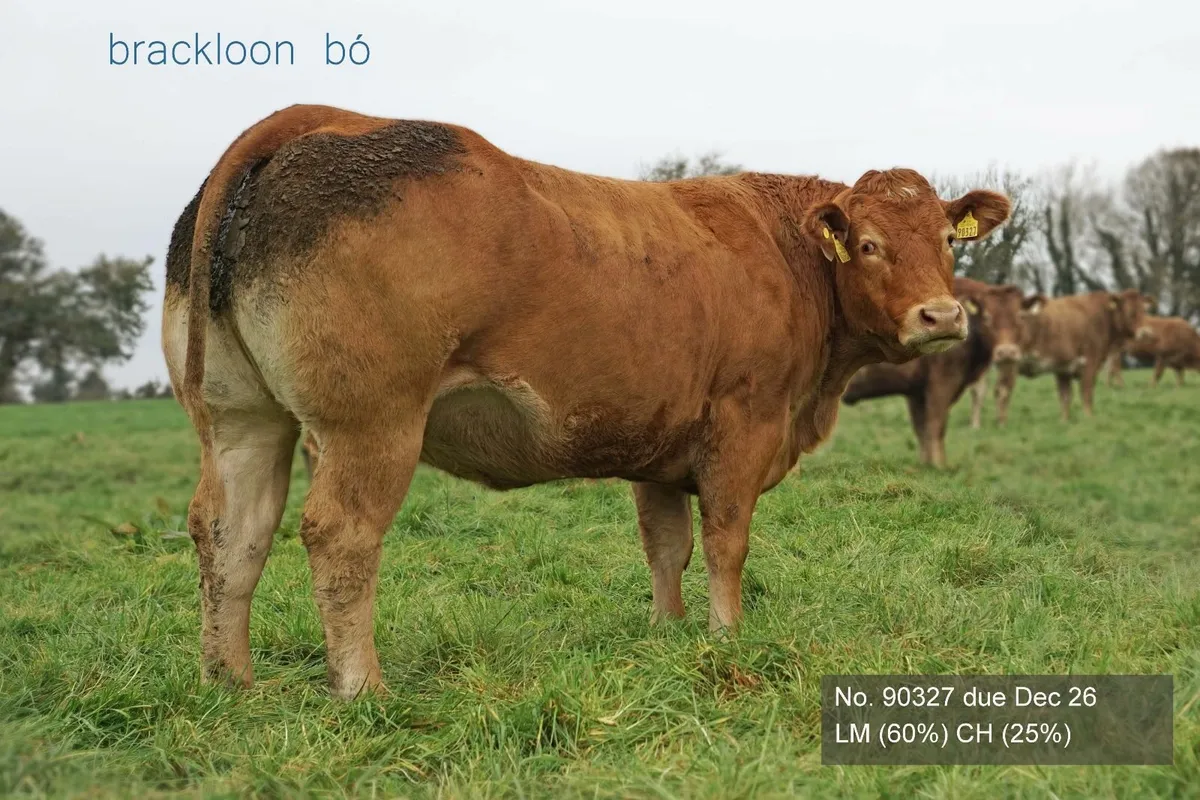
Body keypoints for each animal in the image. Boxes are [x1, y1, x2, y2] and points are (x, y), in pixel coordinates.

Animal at [841, 277, 1025, 466]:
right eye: (988, 317)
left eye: (1019, 317)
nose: (1007, 352)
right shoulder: (942, 383)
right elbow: (936, 425)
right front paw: (939, 465)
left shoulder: (916, 391)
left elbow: (922, 429)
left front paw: (925, 463)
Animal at [989, 289, 1147, 422]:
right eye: (1130, 312)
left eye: (1143, 311)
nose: (1142, 332)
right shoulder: (1090, 364)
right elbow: (1086, 394)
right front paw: (1089, 418)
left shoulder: (1063, 369)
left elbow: (1065, 397)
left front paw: (1064, 421)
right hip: (1009, 361)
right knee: (1003, 391)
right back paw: (1002, 423)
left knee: (998, 390)